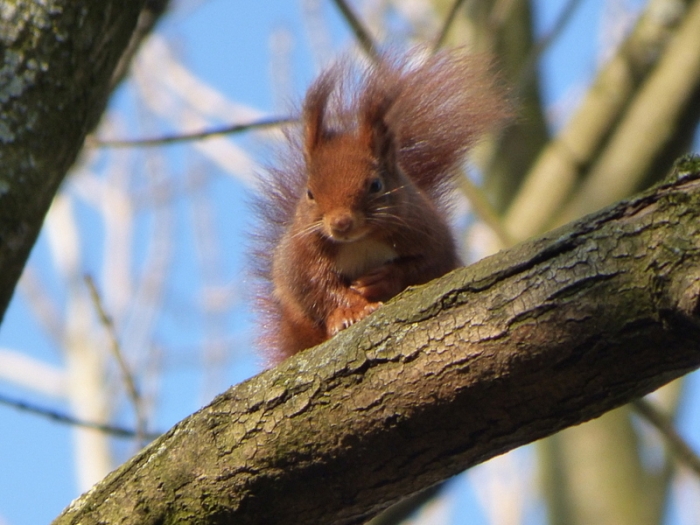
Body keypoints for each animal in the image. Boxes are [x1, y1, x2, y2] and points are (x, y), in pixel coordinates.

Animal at [252, 50, 509, 363]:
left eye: (376, 185)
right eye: (310, 193)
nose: (340, 223)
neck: (360, 240)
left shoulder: (428, 235)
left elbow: (426, 265)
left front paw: (381, 279)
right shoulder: (300, 256)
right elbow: (315, 289)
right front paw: (349, 310)